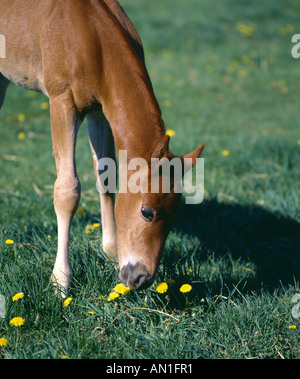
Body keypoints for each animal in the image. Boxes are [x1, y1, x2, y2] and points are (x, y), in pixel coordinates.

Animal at [0, 0, 204, 294]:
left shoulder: (99, 110)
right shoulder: (62, 102)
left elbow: (107, 177)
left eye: (176, 215)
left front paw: (110, 253)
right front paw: (60, 281)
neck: (90, 33)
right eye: (147, 212)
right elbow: (67, 190)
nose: (140, 279)